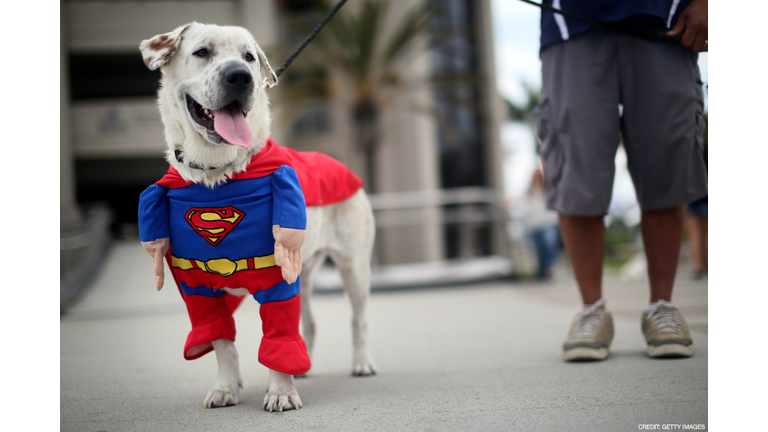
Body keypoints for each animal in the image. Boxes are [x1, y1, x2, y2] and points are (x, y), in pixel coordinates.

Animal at [139, 22, 378, 414]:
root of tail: (338, 163)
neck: (218, 177)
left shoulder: (278, 280)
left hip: (353, 266)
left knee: (358, 319)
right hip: (303, 270)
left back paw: (361, 363)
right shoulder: (198, 288)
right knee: (310, 323)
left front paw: (280, 391)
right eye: (202, 52)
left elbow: (279, 334)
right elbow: (222, 342)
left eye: (249, 57)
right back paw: (304, 368)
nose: (241, 76)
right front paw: (226, 388)